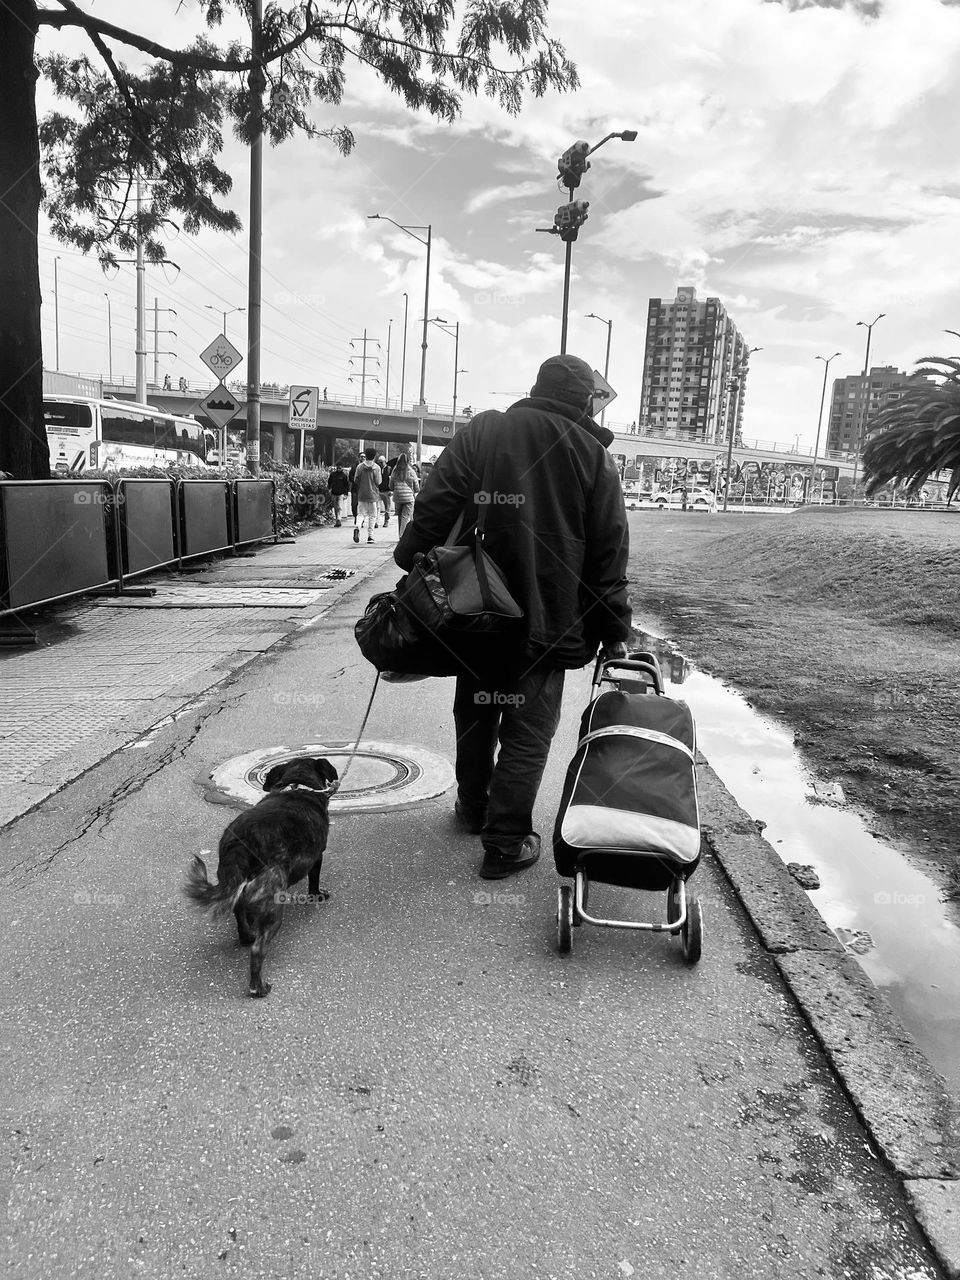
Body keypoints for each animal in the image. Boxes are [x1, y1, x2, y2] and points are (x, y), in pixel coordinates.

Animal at [185, 752, 340, 993]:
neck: (298, 785)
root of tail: (241, 843)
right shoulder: (317, 857)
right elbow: (314, 880)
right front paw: (317, 895)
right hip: (272, 905)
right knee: (258, 950)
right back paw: (258, 987)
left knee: (240, 915)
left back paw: (246, 936)